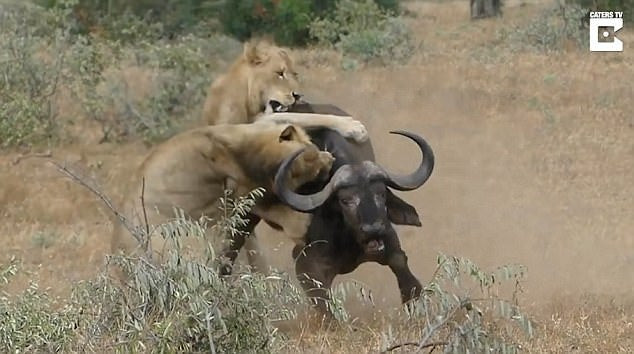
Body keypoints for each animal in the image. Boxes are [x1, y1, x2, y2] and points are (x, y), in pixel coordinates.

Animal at [272, 101, 434, 316]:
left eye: (381, 194)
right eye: (345, 200)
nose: (373, 229)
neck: (349, 240)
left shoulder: (390, 241)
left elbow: (406, 273)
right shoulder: (307, 266)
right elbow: (324, 306)